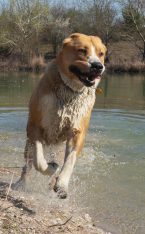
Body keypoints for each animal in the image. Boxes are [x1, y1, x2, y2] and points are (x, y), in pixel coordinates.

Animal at [15, 32, 106, 197]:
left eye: (101, 53)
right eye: (82, 50)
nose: (98, 66)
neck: (69, 91)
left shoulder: (77, 133)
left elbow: (69, 161)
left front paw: (62, 184)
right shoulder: (35, 127)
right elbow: (39, 161)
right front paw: (51, 167)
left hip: (58, 147)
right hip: (28, 145)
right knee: (28, 166)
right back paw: (21, 184)